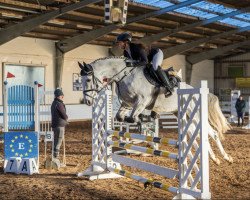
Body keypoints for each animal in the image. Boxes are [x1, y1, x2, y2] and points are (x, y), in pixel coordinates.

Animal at [78, 56, 232, 164]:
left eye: (88, 80)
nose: (88, 101)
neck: (124, 75)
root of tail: (197, 90)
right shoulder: (127, 105)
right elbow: (121, 118)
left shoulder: (141, 102)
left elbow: (132, 118)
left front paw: (146, 121)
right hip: (182, 114)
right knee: (197, 133)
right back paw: (214, 158)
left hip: (194, 113)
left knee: (211, 133)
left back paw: (225, 157)